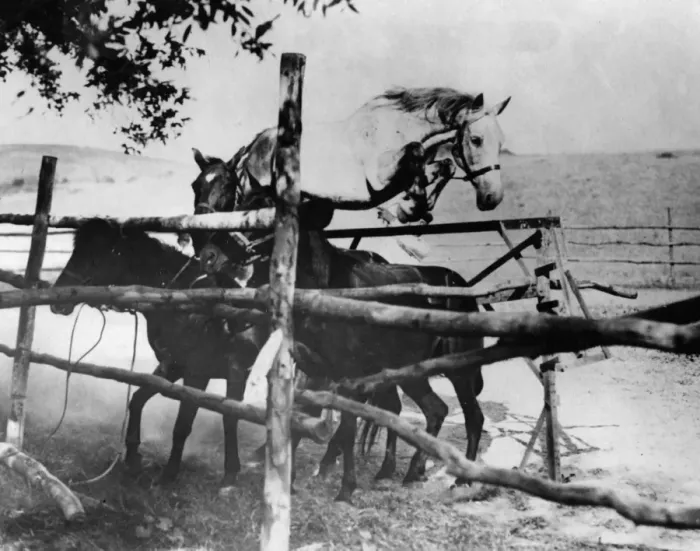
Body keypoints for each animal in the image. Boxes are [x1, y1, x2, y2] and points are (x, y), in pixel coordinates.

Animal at [189, 86, 511, 230]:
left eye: (501, 142)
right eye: (476, 139)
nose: (492, 198)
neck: (399, 127)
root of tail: (257, 143)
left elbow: (443, 166)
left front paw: (416, 207)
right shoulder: (380, 178)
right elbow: (417, 155)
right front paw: (408, 208)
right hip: (256, 192)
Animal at [197, 188, 486, 503]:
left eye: (266, 213)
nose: (209, 255)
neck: (326, 289)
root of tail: (465, 289)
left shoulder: (348, 375)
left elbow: (345, 428)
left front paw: (345, 488)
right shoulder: (311, 367)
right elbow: (299, 416)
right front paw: (291, 479)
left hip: (460, 370)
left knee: (472, 416)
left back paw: (461, 479)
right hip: (410, 371)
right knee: (433, 409)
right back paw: (406, 471)